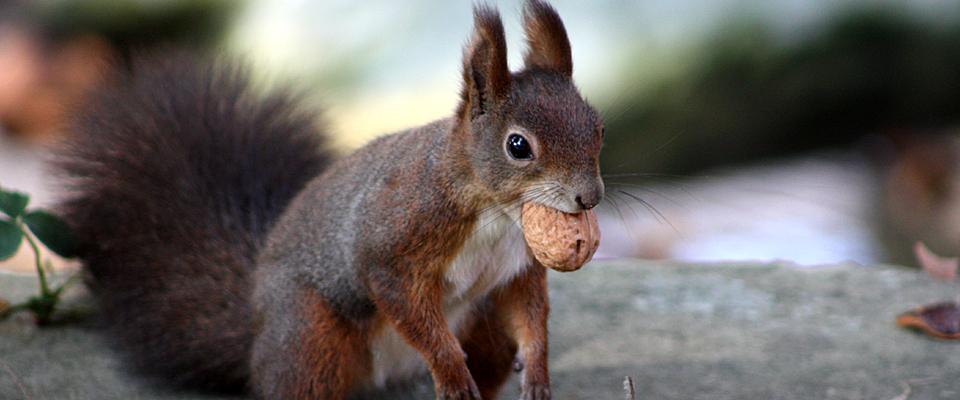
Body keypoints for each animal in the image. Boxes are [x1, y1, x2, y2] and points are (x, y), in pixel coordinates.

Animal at [54, 1, 603, 399]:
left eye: (597, 126)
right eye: (518, 146)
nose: (590, 197)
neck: (497, 213)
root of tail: (257, 334)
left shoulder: (515, 268)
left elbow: (531, 314)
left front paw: (537, 374)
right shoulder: (395, 239)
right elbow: (406, 303)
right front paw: (450, 374)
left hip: (483, 328)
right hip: (310, 337)